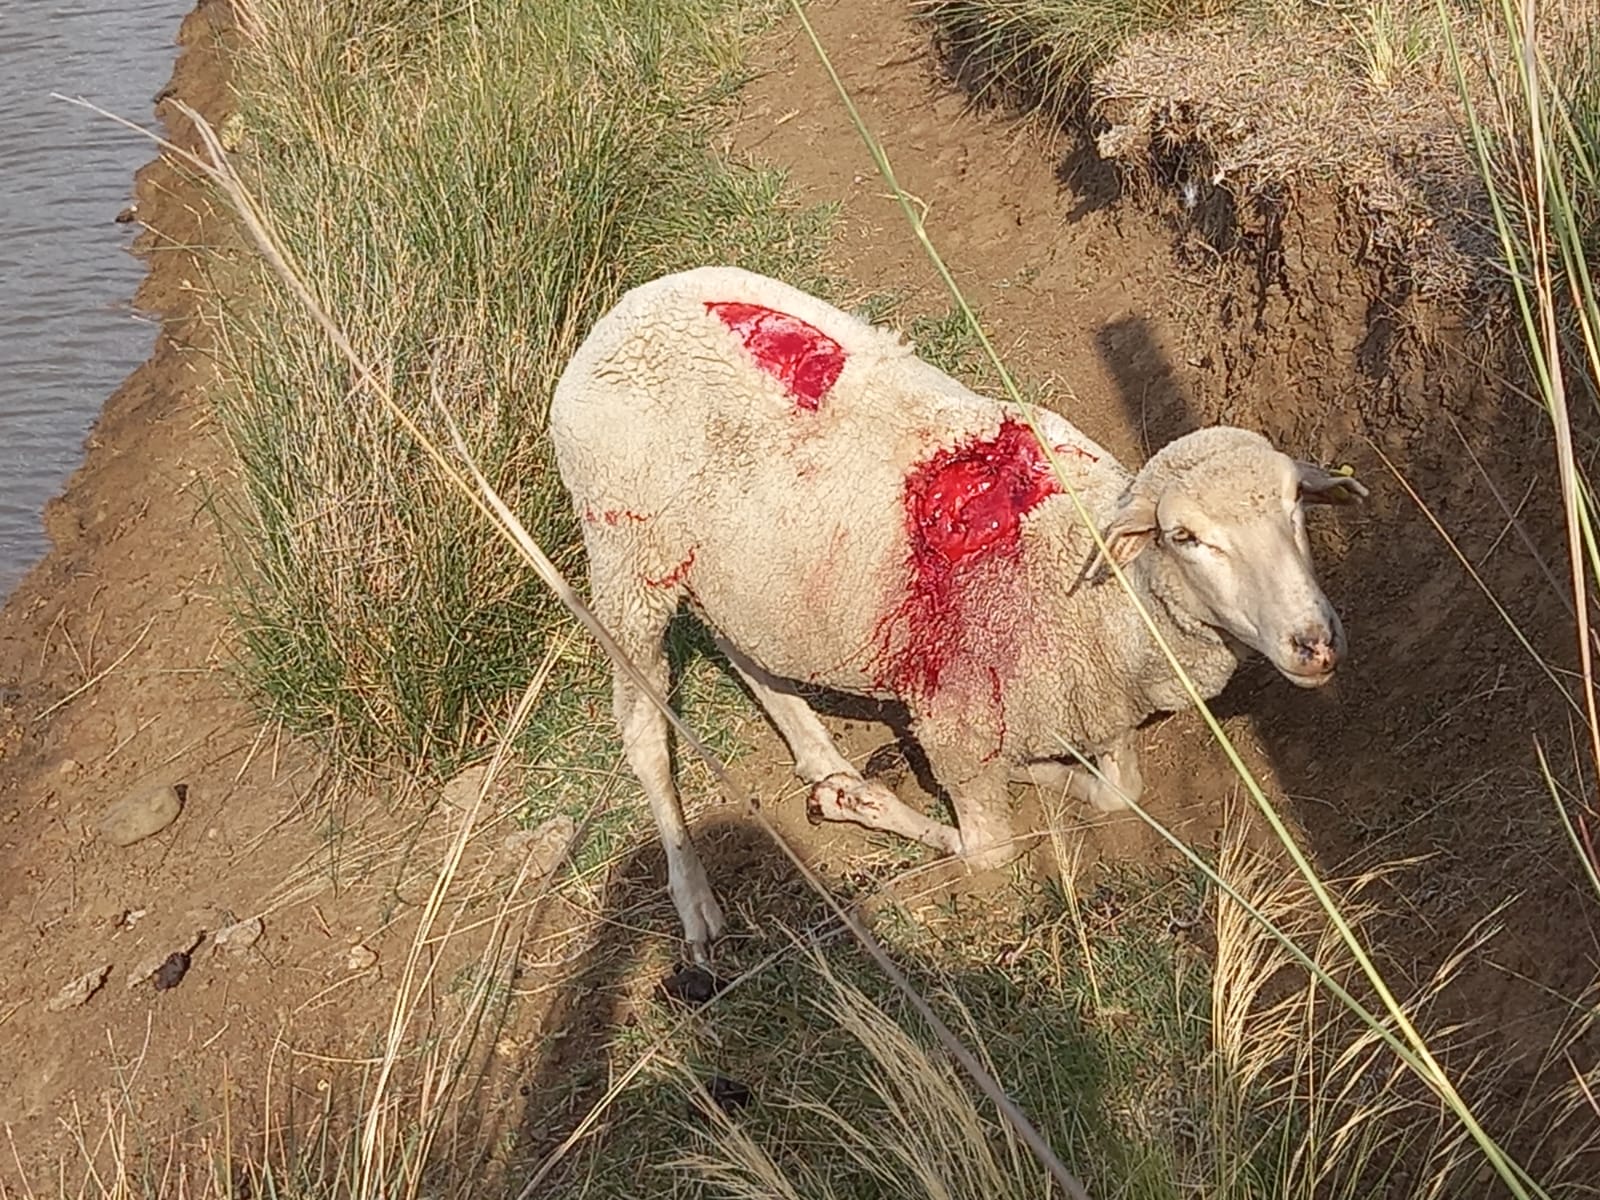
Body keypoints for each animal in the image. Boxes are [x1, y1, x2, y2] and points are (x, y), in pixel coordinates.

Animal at [547, 262, 1363, 960]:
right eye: (1184, 536)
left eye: (1295, 502)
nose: (1314, 642)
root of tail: (620, 315)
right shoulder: (954, 727)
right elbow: (990, 852)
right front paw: (864, 803)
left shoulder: (1097, 702)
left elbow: (1119, 795)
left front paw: (1041, 770)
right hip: (625, 558)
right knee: (644, 728)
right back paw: (696, 901)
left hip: (731, 567)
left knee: (746, 650)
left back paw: (817, 753)